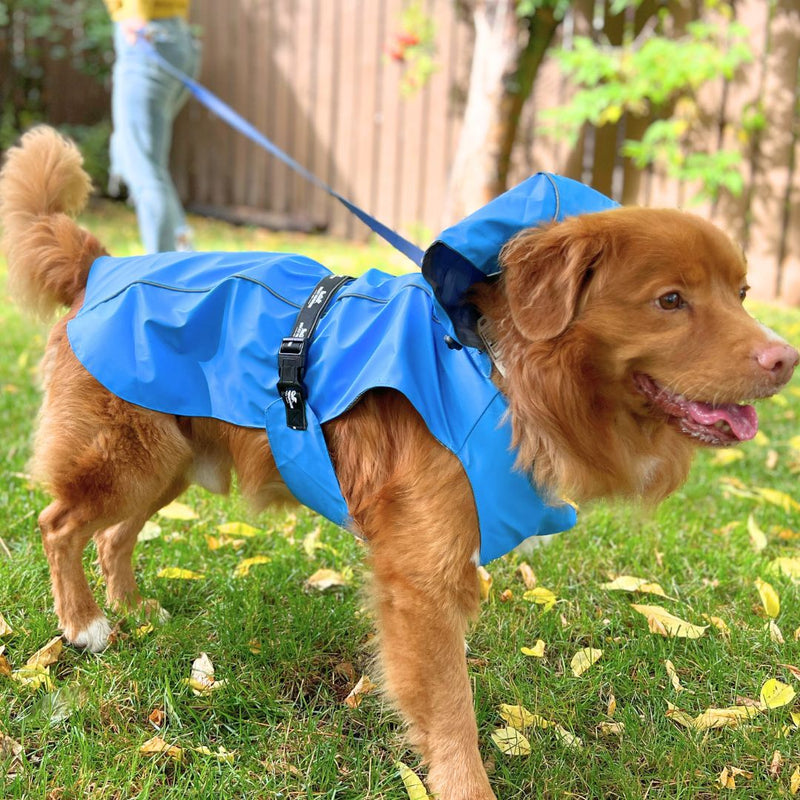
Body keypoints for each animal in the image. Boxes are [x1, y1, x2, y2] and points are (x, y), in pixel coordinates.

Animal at [3, 126, 796, 800]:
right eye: (670, 300)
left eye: (742, 293)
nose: (784, 358)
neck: (493, 364)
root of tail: (99, 262)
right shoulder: (422, 579)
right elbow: (450, 709)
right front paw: (465, 785)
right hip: (129, 457)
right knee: (60, 523)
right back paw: (85, 623)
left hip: (166, 459)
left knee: (113, 534)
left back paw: (135, 608)